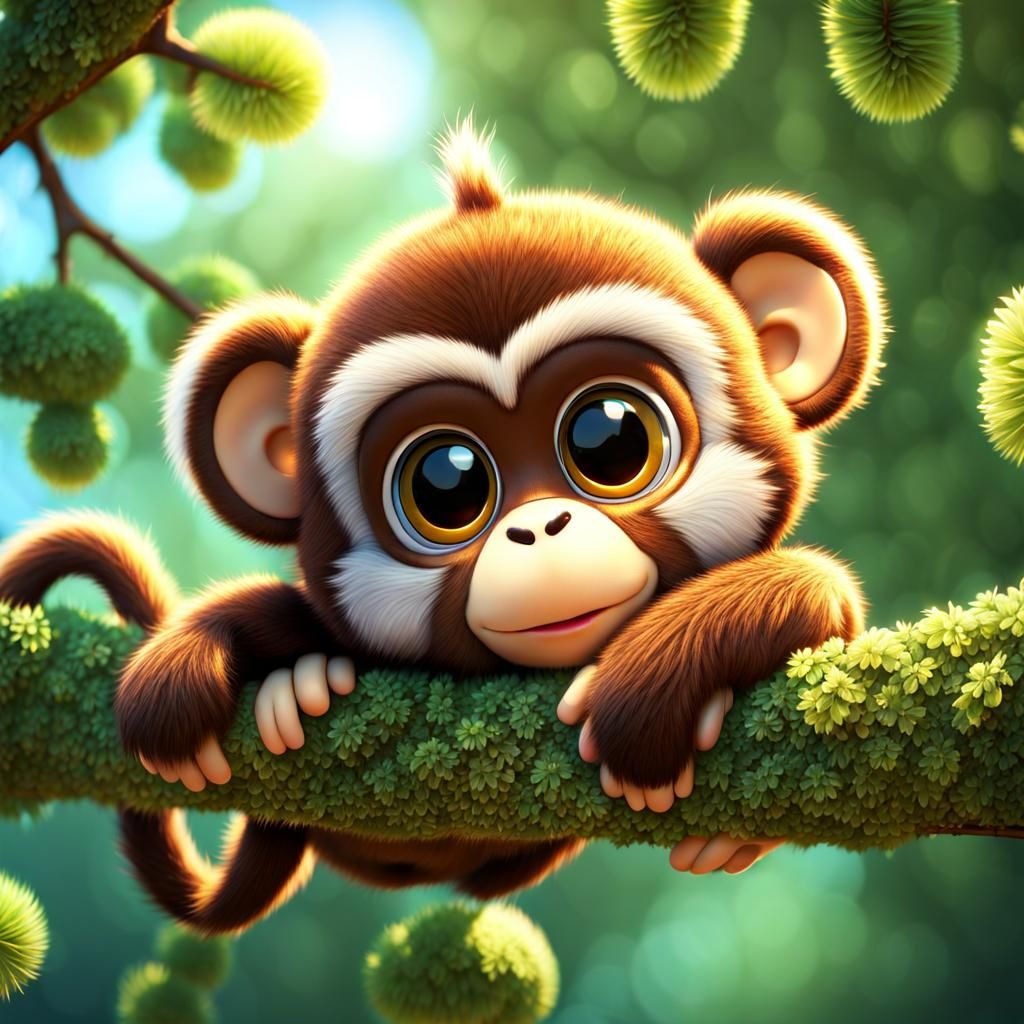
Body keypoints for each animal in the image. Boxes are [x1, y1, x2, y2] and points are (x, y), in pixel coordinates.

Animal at [0, 118, 885, 934]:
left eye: (612, 439)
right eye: (447, 485)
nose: (541, 529)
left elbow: (820, 589)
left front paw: (654, 684)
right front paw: (183, 667)